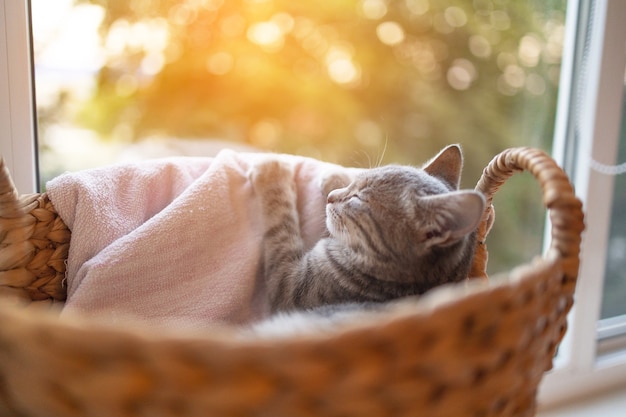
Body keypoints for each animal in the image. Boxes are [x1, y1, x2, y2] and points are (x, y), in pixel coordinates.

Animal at [247, 145, 482, 324]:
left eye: (357, 200)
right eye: (355, 183)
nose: (331, 197)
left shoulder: (289, 286)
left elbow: (281, 221)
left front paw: (272, 168)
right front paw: (336, 177)